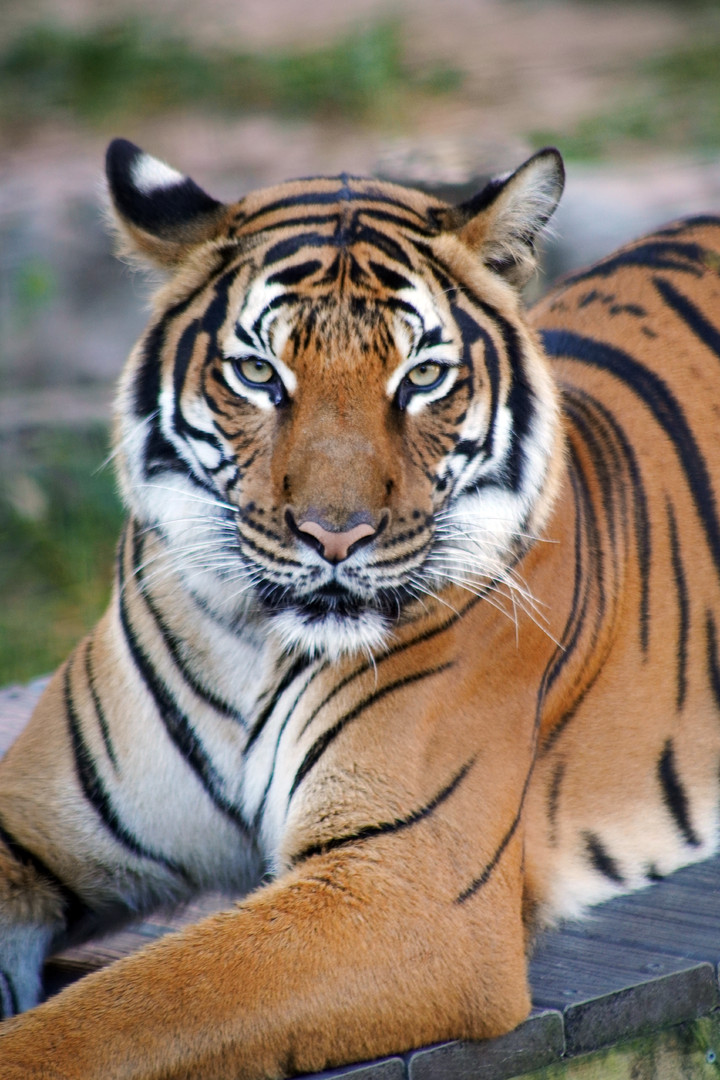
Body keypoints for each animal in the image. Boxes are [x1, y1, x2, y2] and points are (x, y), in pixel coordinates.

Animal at [1, 137, 720, 1080]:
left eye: (422, 377)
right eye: (259, 373)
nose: (334, 536)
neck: (252, 642)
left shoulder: (402, 886)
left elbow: (118, 1013)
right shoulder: (34, 828)